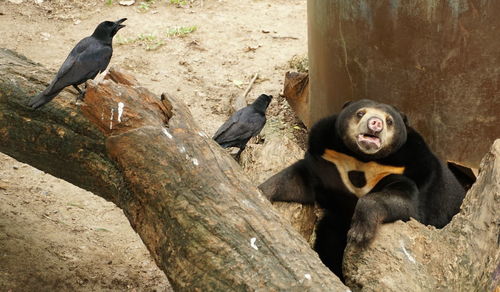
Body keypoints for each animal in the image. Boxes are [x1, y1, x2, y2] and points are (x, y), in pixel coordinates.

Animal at [260, 100, 466, 280]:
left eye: (389, 120)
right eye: (360, 113)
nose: (375, 123)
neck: (363, 159)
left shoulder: (408, 170)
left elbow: (406, 204)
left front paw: (359, 233)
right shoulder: (328, 161)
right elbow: (297, 180)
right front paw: (262, 192)